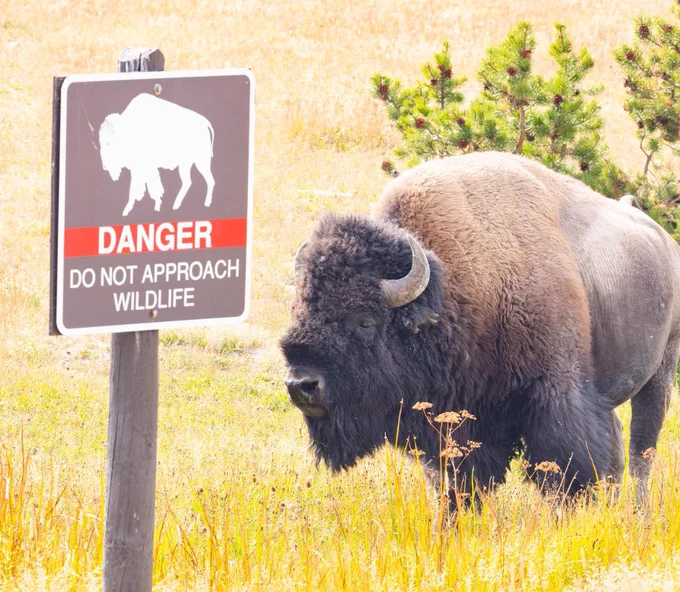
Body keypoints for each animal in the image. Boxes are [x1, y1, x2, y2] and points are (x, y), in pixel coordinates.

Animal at [280, 152, 680, 502]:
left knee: (641, 452)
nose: (302, 385)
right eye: (298, 310)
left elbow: (567, 469)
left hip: (659, 375)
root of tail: (664, 241)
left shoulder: (556, 395)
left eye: (365, 321)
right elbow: (454, 481)